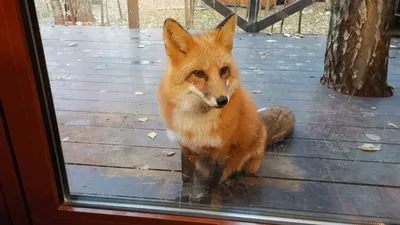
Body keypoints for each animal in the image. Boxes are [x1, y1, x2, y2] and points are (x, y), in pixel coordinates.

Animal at [158, 14, 296, 186]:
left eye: (224, 70)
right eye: (198, 73)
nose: (223, 100)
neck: (198, 124)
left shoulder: (223, 150)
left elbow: (213, 183)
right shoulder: (186, 147)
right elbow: (186, 180)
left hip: (252, 157)